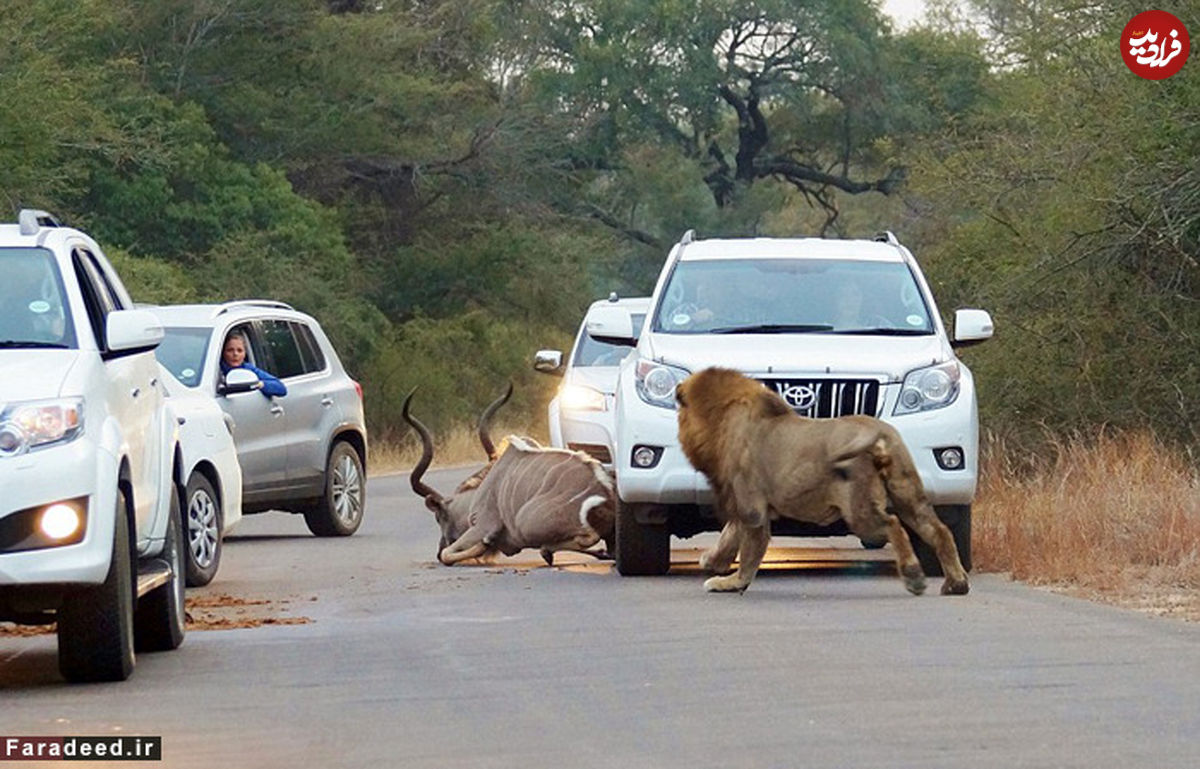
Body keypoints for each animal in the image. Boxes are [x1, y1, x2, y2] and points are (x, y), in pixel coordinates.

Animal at [672, 364, 969, 595]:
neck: (722, 419)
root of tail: (878, 431)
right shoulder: (747, 504)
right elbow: (730, 535)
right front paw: (712, 561)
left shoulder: (751, 506)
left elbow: (748, 552)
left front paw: (731, 582)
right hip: (908, 494)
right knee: (940, 530)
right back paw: (956, 584)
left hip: (860, 510)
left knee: (894, 526)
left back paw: (914, 577)